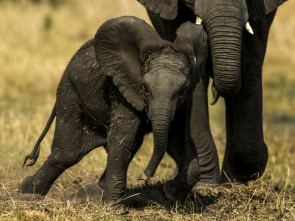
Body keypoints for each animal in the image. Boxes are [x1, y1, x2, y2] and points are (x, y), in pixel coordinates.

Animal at [20, 16, 209, 205]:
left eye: (182, 91)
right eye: (145, 89)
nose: (145, 176)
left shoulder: (183, 104)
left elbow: (176, 140)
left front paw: (171, 194)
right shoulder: (120, 92)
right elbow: (121, 140)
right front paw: (111, 206)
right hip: (69, 92)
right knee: (67, 153)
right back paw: (26, 192)